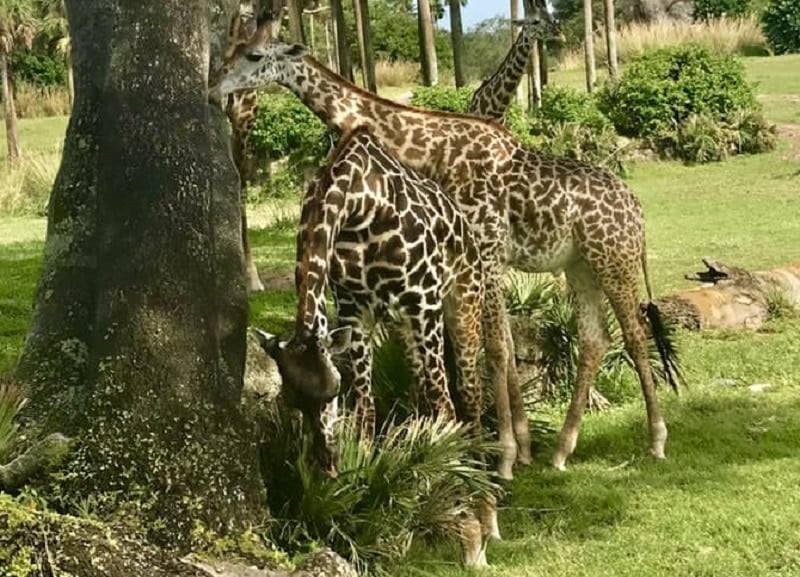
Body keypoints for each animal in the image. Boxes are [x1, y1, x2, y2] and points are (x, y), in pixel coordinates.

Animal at [212, 40, 680, 474]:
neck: (422, 145)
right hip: (580, 266)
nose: (218, 86)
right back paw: (562, 451)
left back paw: (656, 441)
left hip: (613, 260)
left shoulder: (481, 255)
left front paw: (505, 455)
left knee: (635, 334)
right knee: (596, 339)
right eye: (232, 52)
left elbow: (495, 348)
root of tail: (637, 212)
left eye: (254, 56)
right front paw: (508, 448)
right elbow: (477, 351)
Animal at [255, 128, 494, 564]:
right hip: (400, 326)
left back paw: (487, 514)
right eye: (292, 402)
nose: (329, 466)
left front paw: (466, 526)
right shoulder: (356, 312)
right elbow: (366, 409)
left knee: (466, 398)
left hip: (462, 301)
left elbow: (445, 406)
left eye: (332, 393)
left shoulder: (424, 301)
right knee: (419, 393)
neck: (359, 209)